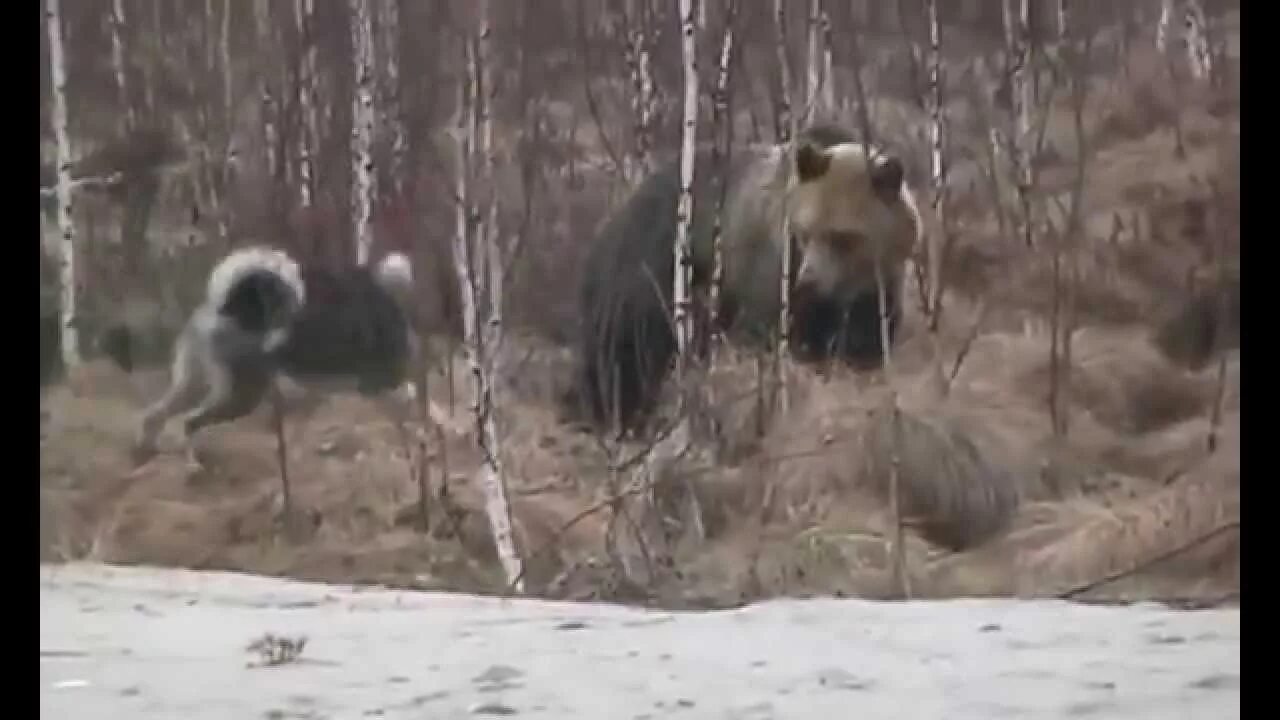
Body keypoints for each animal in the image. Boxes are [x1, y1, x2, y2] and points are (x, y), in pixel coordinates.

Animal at [138, 243, 422, 461]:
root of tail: (220, 309)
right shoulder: (385, 386)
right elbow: (417, 414)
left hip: (194, 384)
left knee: (155, 414)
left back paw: (146, 451)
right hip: (240, 396)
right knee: (187, 423)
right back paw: (192, 464)